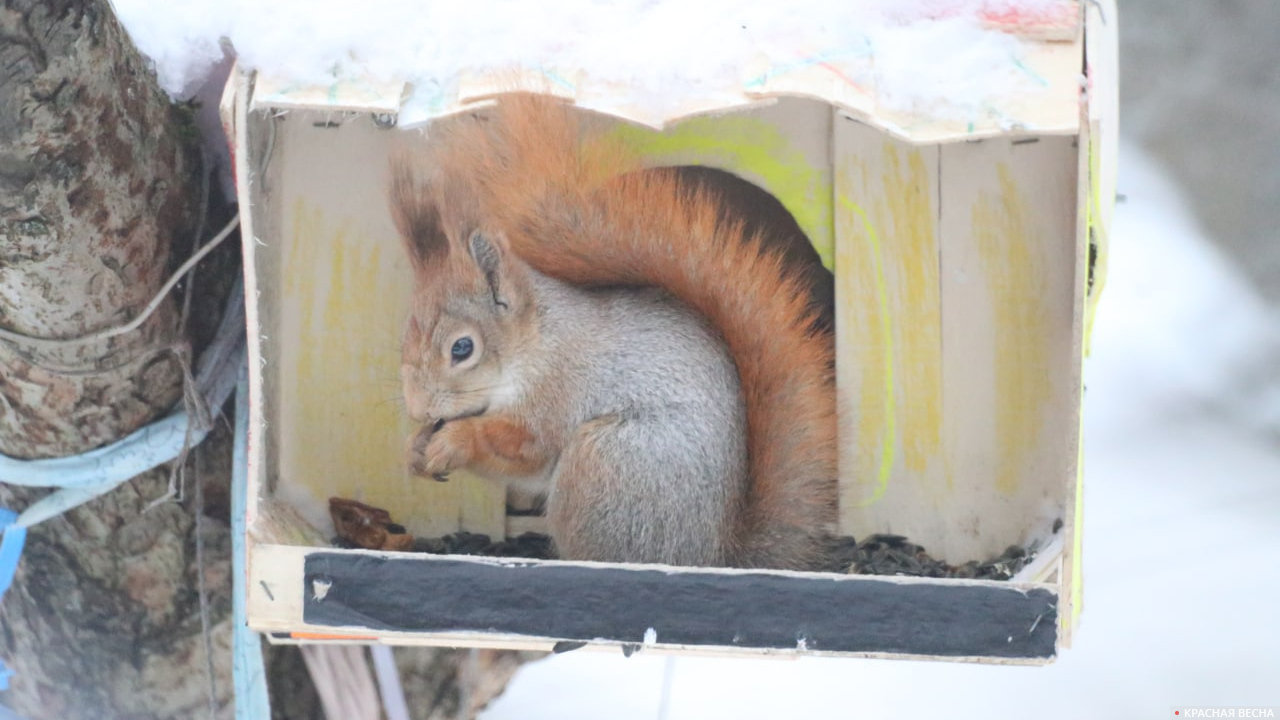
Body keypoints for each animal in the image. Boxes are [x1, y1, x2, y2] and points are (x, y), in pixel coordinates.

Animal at [389, 92, 839, 568]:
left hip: (606, 462)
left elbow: (526, 446)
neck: (535, 345)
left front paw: (454, 440)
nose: (418, 408)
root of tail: (712, 555)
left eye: (462, 348)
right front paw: (415, 448)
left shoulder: (560, 392)